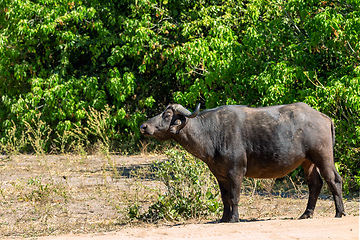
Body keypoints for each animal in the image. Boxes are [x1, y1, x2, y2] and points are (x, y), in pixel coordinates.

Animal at [140, 103, 346, 223]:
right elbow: (224, 198)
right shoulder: (220, 175)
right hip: (307, 161)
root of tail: (324, 117)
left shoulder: (236, 172)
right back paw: (306, 214)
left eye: (167, 115)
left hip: (323, 156)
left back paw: (339, 212)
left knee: (334, 180)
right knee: (315, 184)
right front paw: (224, 218)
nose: (144, 126)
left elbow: (234, 197)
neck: (212, 133)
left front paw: (234, 218)